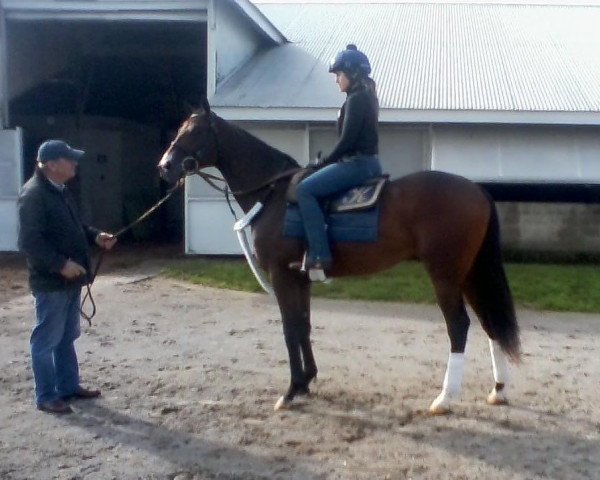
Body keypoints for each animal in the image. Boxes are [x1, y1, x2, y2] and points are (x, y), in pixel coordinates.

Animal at [159, 99, 520, 414]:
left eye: (194, 131)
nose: (165, 166)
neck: (274, 194)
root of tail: (476, 189)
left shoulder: (281, 275)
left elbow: (289, 328)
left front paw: (291, 391)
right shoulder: (300, 277)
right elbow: (303, 325)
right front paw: (307, 381)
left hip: (445, 274)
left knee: (458, 326)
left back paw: (444, 398)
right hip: (469, 274)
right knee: (488, 322)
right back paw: (498, 389)